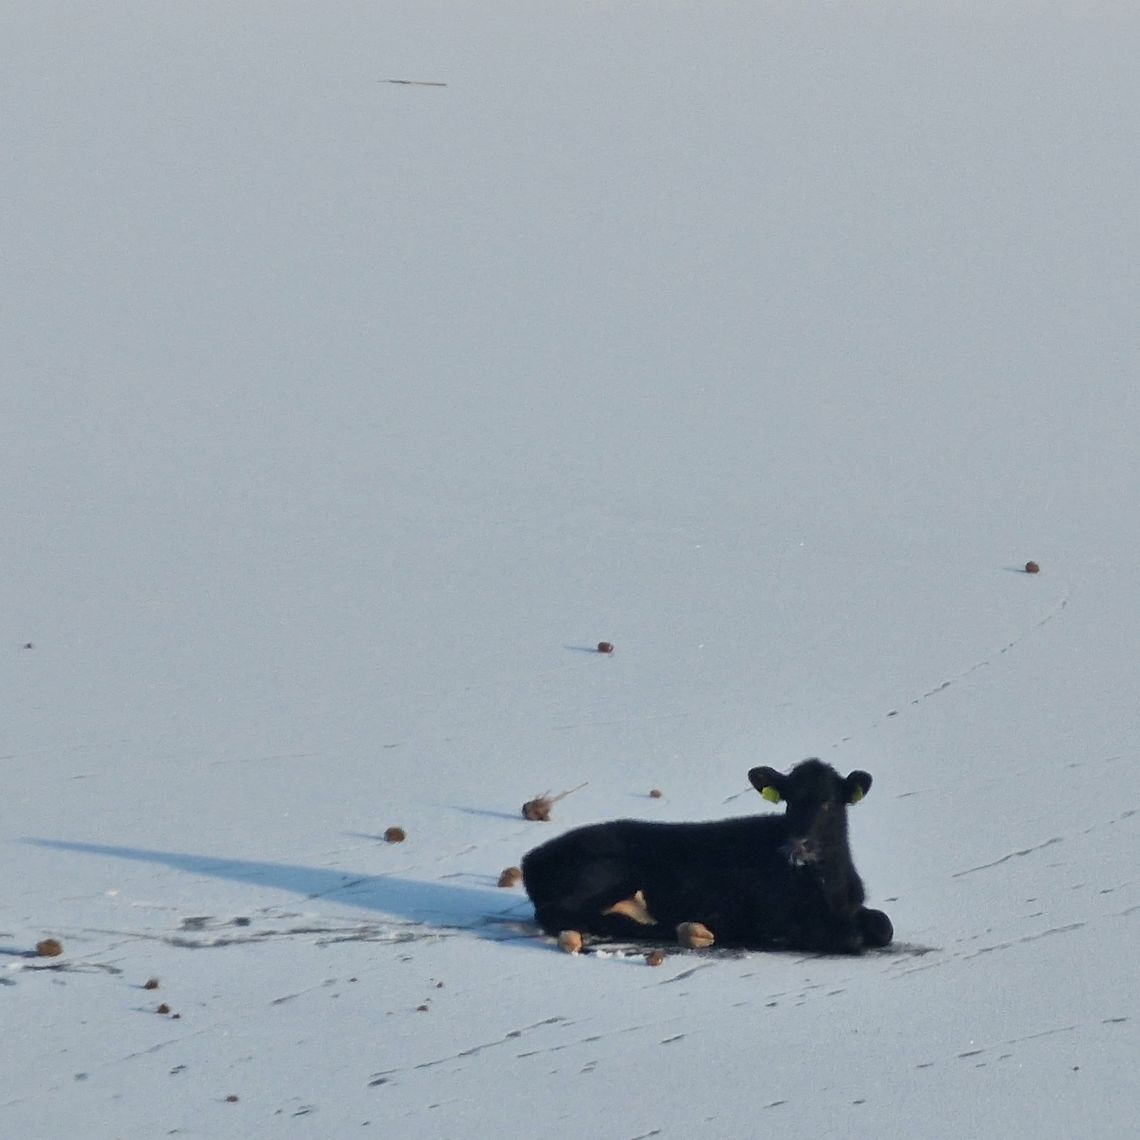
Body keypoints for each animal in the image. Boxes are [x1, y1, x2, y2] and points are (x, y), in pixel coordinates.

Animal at [522, 761, 893, 957]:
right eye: (789, 800)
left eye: (829, 802)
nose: (798, 845)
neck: (828, 887)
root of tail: (531, 860)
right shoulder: (778, 915)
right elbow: (847, 936)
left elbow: (883, 925)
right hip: (603, 872)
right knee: (562, 914)